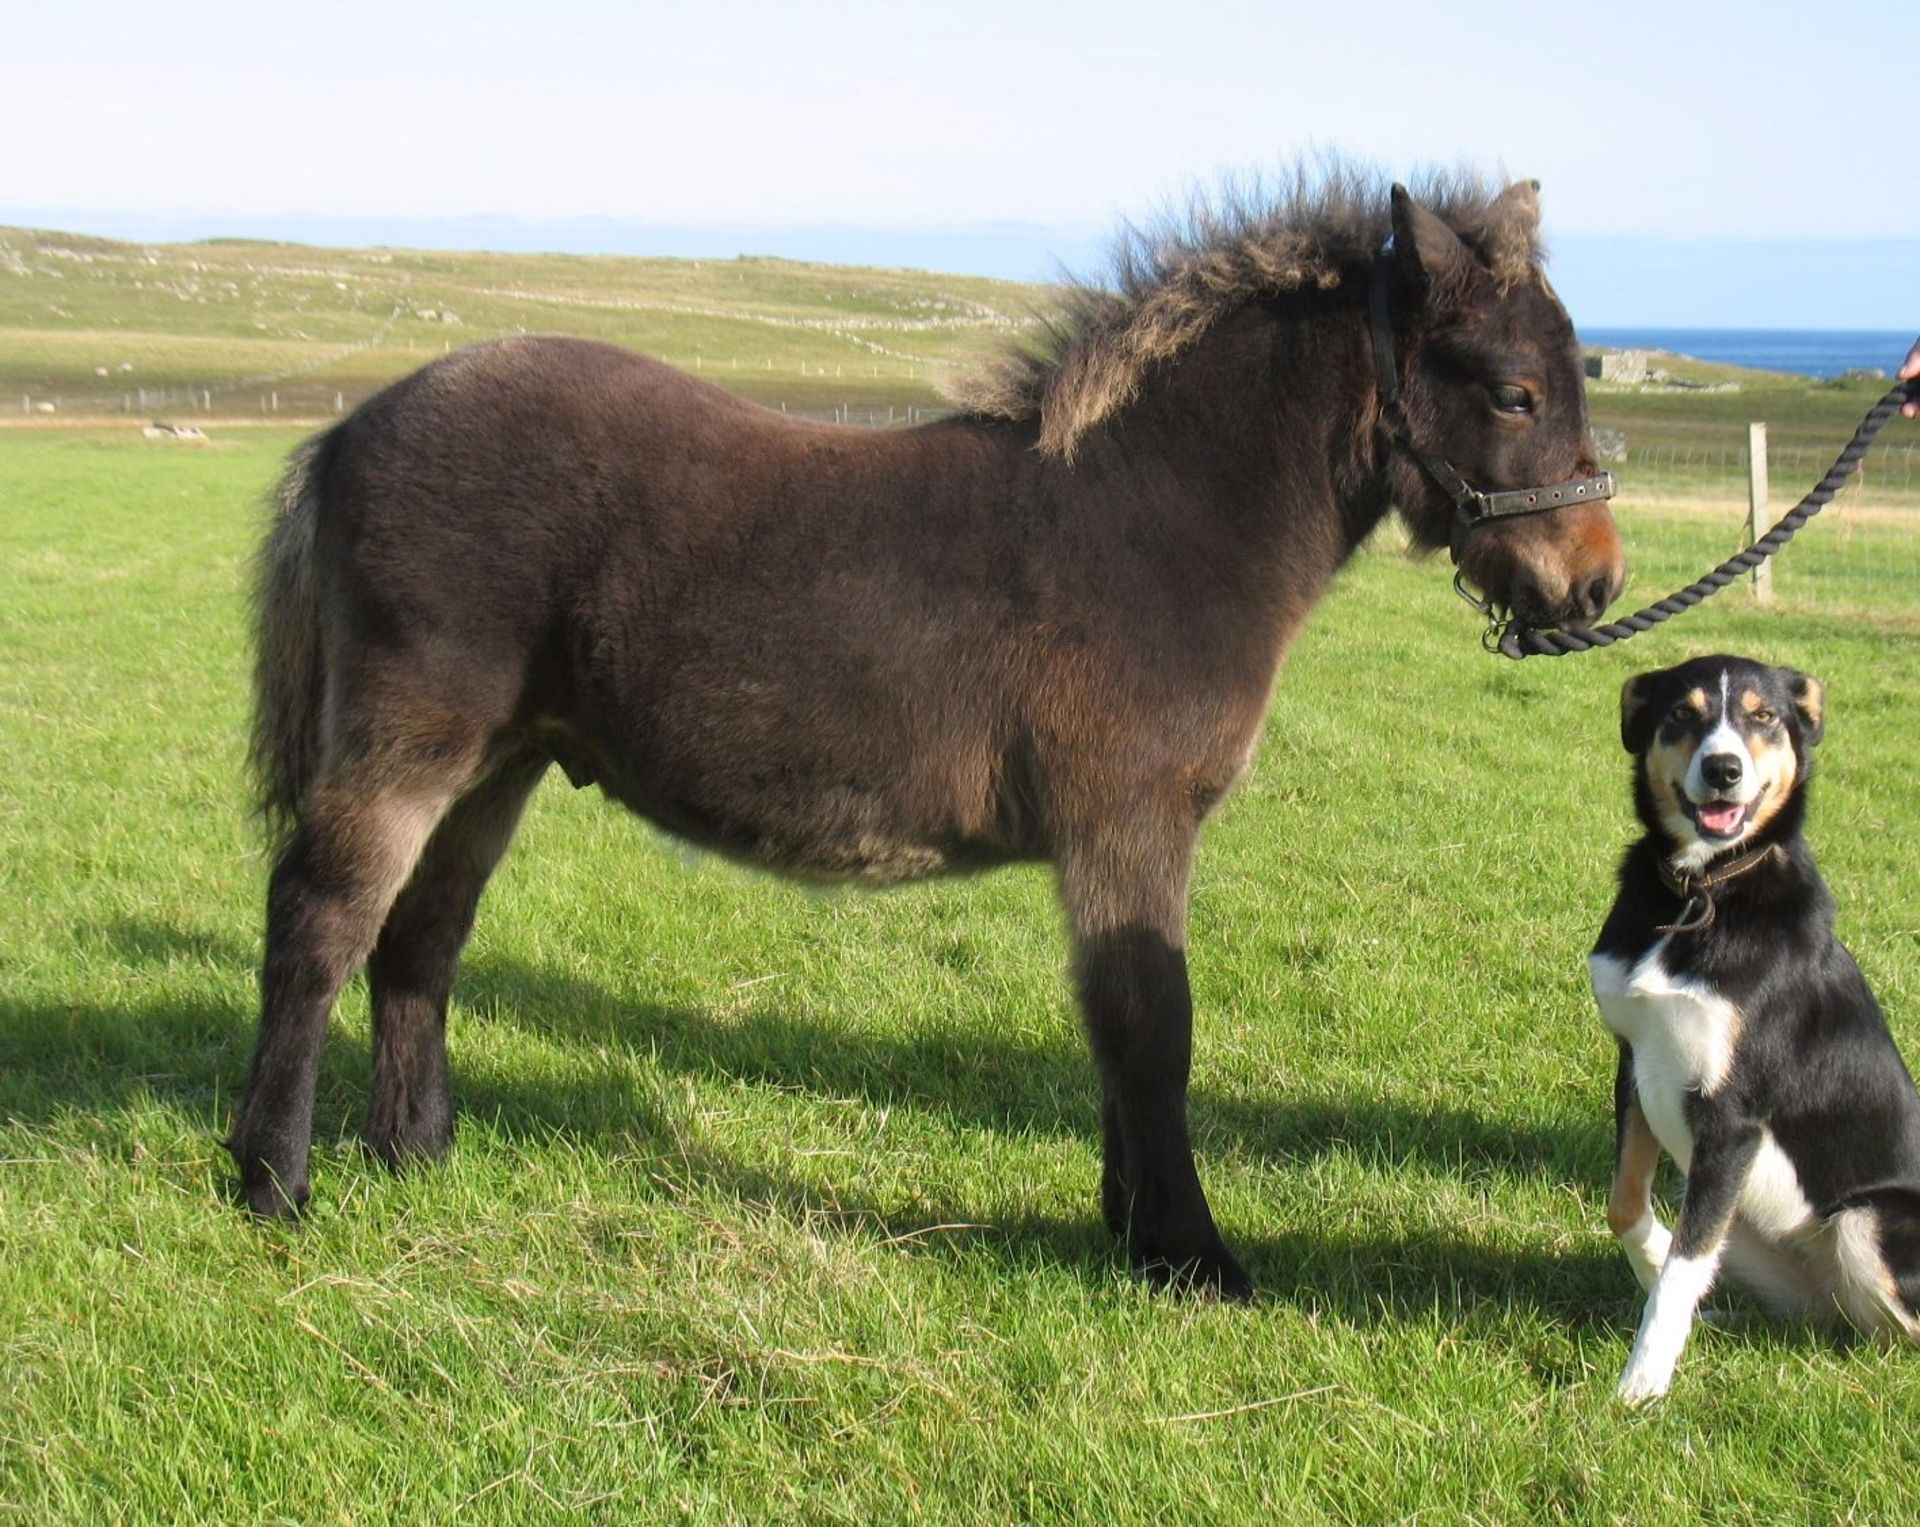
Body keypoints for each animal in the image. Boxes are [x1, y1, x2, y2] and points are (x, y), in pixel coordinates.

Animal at [232, 172, 1628, 1298]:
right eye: (1515, 392)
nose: (1597, 583)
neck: (1155, 518)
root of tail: (347, 430)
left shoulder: (1113, 842)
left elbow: (1116, 1024)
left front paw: (1128, 1226)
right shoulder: (1128, 823)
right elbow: (1153, 1027)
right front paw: (1191, 1256)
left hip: (502, 762)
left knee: (421, 939)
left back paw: (415, 1155)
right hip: (408, 744)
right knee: (322, 925)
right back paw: (273, 1182)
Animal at [1589, 649, 1920, 1405]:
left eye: (1763, 716)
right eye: (1681, 714)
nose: (1723, 769)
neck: (1702, 895)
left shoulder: (1731, 1119)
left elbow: (1682, 1270)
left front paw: (1642, 1384)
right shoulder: (1637, 1065)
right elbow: (1633, 1211)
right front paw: (1660, 1270)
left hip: (1866, 1220)